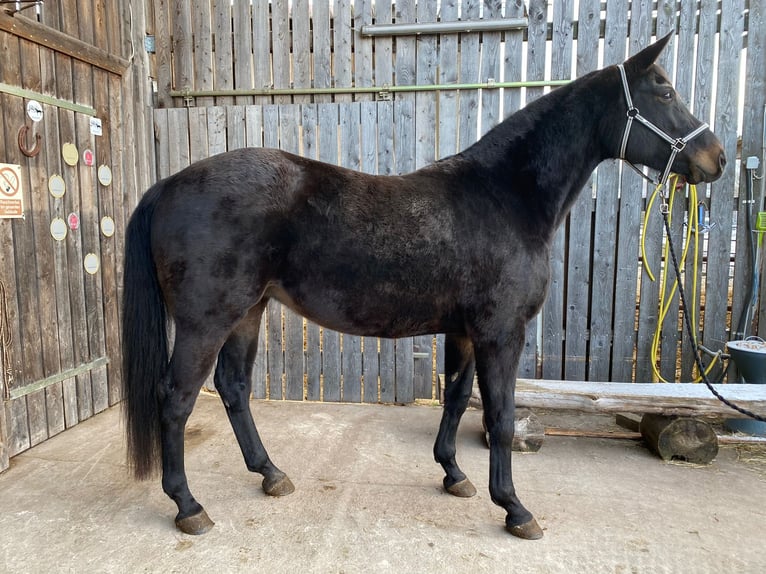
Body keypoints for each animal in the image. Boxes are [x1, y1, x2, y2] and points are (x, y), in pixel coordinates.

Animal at [121, 35, 728, 540]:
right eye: (665, 91)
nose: (716, 158)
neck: (505, 198)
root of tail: (168, 185)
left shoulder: (463, 333)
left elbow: (456, 399)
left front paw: (454, 475)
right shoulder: (501, 333)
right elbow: (499, 417)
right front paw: (514, 509)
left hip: (248, 312)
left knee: (234, 388)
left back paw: (270, 473)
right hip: (206, 320)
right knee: (176, 398)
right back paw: (189, 507)